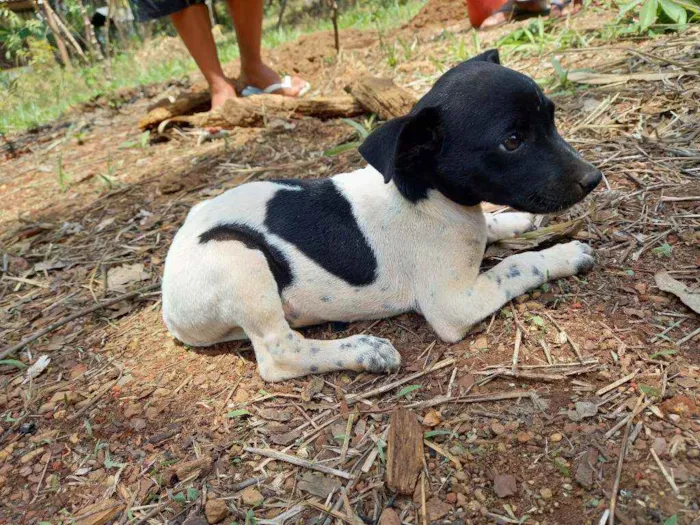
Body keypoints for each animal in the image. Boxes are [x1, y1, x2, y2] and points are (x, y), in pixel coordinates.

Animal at [161, 50, 600, 380]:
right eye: (512, 141)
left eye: (552, 117)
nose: (594, 178)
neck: (424, 195)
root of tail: (168, 307)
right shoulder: (455, 304)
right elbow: (517, 265)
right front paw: (563, 254)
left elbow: (493, 228)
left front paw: (514, 221)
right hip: (236, 256)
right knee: (277, 354)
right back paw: (364, 351)